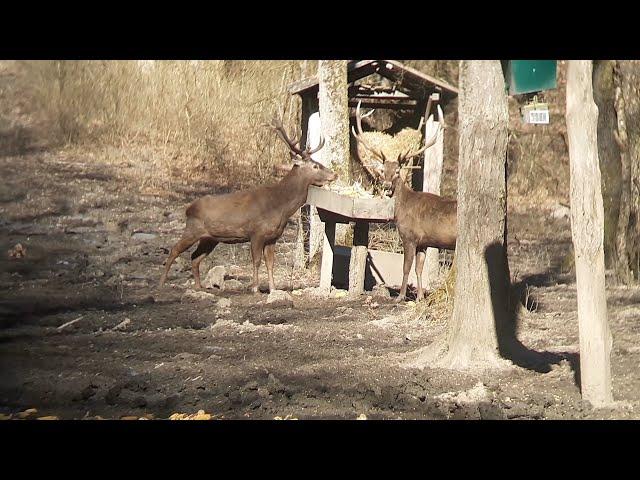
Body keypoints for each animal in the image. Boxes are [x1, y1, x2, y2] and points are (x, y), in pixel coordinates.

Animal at [159, 118, 340, 294]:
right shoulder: (256, 232)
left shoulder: (273, 237)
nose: (334, 174)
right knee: (175, 249)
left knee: (195, 257)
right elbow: (257, 261)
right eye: (315, 165)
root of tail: (189, 208)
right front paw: (255, 288)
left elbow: (270, 263)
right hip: (192, 229)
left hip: (209, 238)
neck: (280, 207)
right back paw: (162, 282)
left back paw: (198, 287)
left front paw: (273, 289)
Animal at [352, 101, 458, 302]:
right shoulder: (424, 242)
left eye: (396, 171)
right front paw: (420, 297)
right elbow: (419, 269)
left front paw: (400, 296)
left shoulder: (409, 236)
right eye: (383, 170)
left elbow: (406, 267)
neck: (402, 209)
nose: (386, 186)